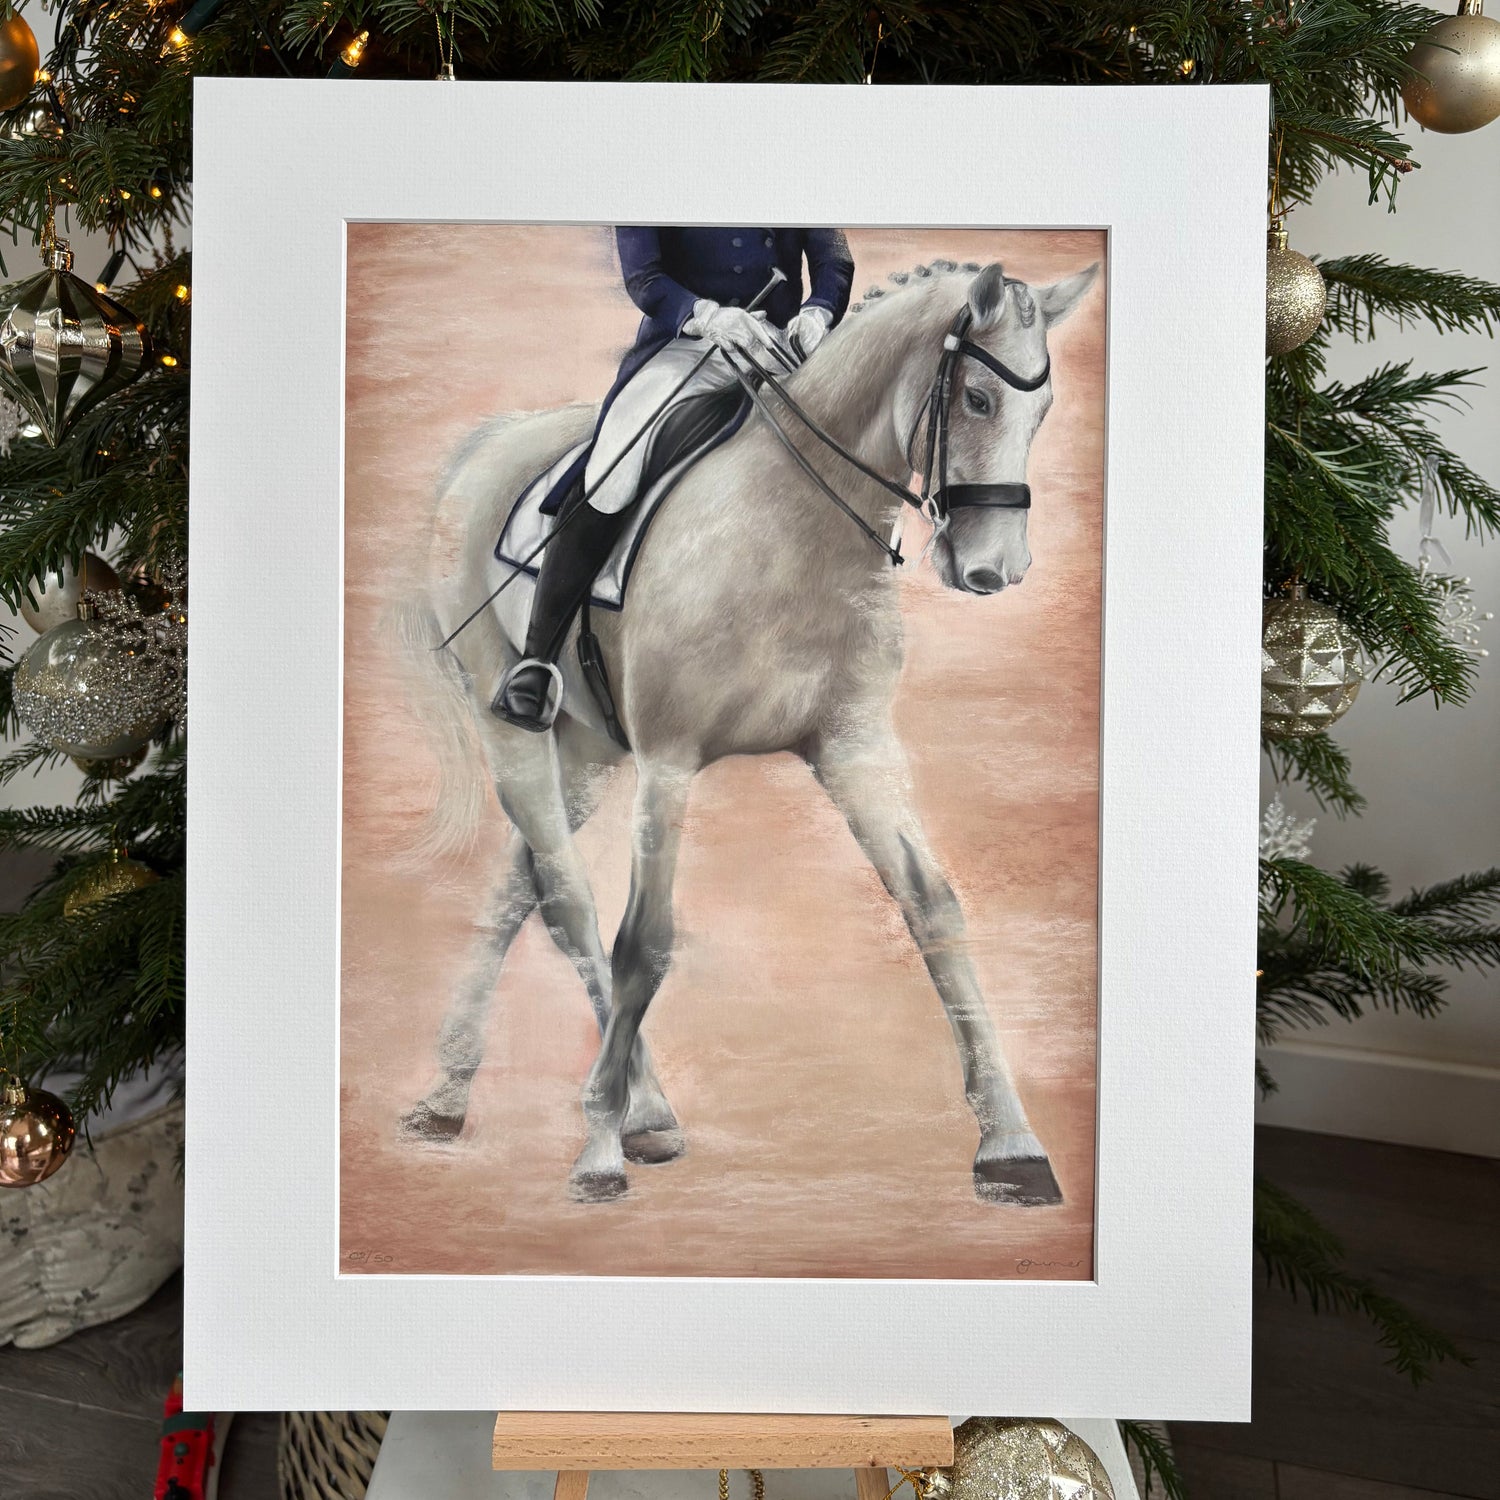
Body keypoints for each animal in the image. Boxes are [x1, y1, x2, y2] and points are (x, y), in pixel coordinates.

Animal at [392, 255, 1100, 1207]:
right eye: (981, 400)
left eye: (1046, 410)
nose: (997, 570)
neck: (794, 521)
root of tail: (493, 442)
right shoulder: (669, 763)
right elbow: (644, 944)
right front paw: (597, 1152)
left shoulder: (854, 748)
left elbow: (934, 907)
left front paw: (1012, 1146)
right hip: (512, 727)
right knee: (571, 901)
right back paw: (625, 1113)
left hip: (586, 746)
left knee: (522, 890)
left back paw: (463, 1095)